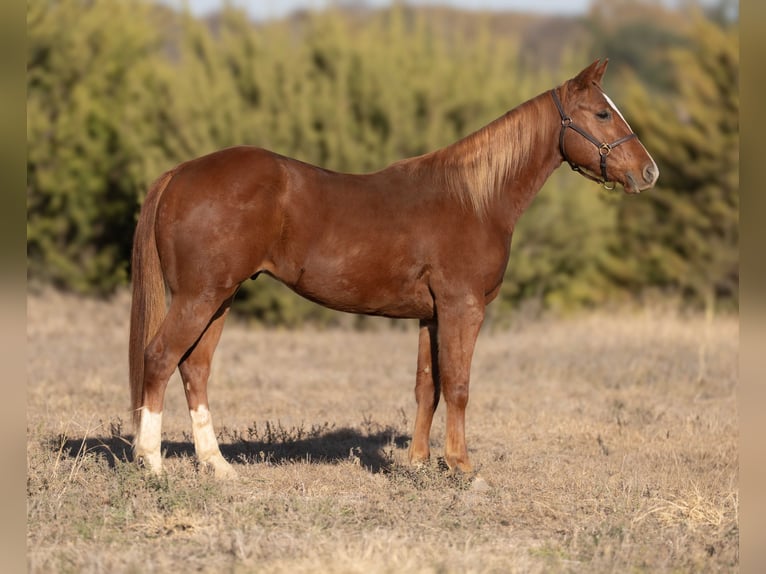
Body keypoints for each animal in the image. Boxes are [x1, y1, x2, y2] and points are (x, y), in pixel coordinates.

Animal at [129, 59, 658, 478]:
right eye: (602, 113)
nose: (649, 172)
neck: (475, 198)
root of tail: (180, 173)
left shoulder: (430, 315)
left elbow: (428, 387)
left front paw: (419, 463)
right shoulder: (463, 308)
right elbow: (459, 386)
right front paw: (461, 467)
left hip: (219, 299)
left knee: (194, 369)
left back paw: (217, 465)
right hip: (199, 297)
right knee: (159, 358)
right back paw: (152, 463)